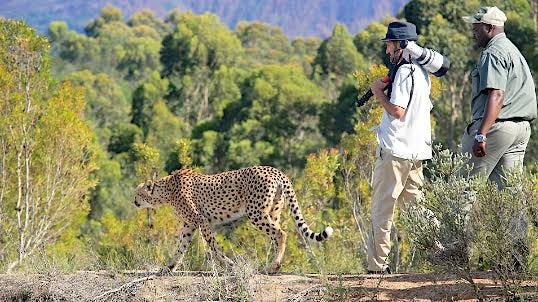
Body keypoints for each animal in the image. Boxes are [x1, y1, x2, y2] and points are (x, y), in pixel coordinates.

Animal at [133, 166, 330, 272]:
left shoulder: (201, 220)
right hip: (273, 211)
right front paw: (169, 267)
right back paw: (274, 265)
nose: (133, 201)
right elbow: (180, 247)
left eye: (138, 193)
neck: (166, 191)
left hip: (256, 213)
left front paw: (228, 264)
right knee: (276, 235)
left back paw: (273, 266)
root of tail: (275, 170)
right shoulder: (189, 225)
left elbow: (213, 246)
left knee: (281, 234)